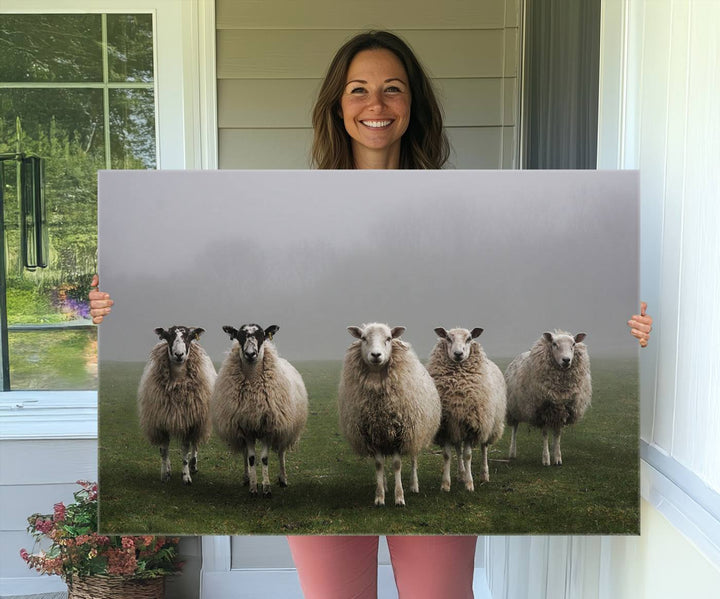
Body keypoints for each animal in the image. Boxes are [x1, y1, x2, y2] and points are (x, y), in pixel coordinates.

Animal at [137, 326, 217, 486]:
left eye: (189, 337)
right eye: (168, 336)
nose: (179, 355)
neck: (178, 381)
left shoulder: (189, 421)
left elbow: (185, 449)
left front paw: (186, 476)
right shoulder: (161, 421)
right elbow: (163, 450)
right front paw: (164, 474)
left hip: (199, 421)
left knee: (195, 444)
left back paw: (193, 465)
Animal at [210, 324, 308, 496]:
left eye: (262, 335)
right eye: (240, 336)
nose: (250, 354)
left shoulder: (269, 427)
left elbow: (264, 458)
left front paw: (267, 488)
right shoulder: (246, 427)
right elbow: (251, 458)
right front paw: (253, 487)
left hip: (285, 427)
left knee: (281, 452)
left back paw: (283, 479)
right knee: (245, 454)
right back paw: (247, 478)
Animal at [338, 324, 442, 506]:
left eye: (388, 338)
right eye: (363, 338)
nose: (376, 355)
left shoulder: (400, 434)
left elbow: (397, 464)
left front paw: (399, 497)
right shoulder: (373, 433)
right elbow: (379, 464)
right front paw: (380, 496)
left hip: (415, 431)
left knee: (414, 458)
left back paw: (414, 485)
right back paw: (386, 485)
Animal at [428, 328, 506, 492]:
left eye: (469, 338)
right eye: (448, 338)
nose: (458, 354)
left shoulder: (473, 425)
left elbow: (468, 455)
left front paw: (470, 484)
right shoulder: (447, 426)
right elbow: (447, 455)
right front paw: (445, 485)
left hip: (488, 424)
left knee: (483, 448)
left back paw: (484, 475)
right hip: (457, 428)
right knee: (458, 449)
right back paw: (461, 474)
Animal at [504, 330, 592, 466]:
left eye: (573, 344)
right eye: (554, 344)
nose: (566, 360)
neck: (560, 390)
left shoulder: (562, 411)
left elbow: (557, 434)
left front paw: (557, 458)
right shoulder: (542, 410)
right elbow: (545, 434)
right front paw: (546, 459)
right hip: (513, 407)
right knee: (515, 428)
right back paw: (512, 452)